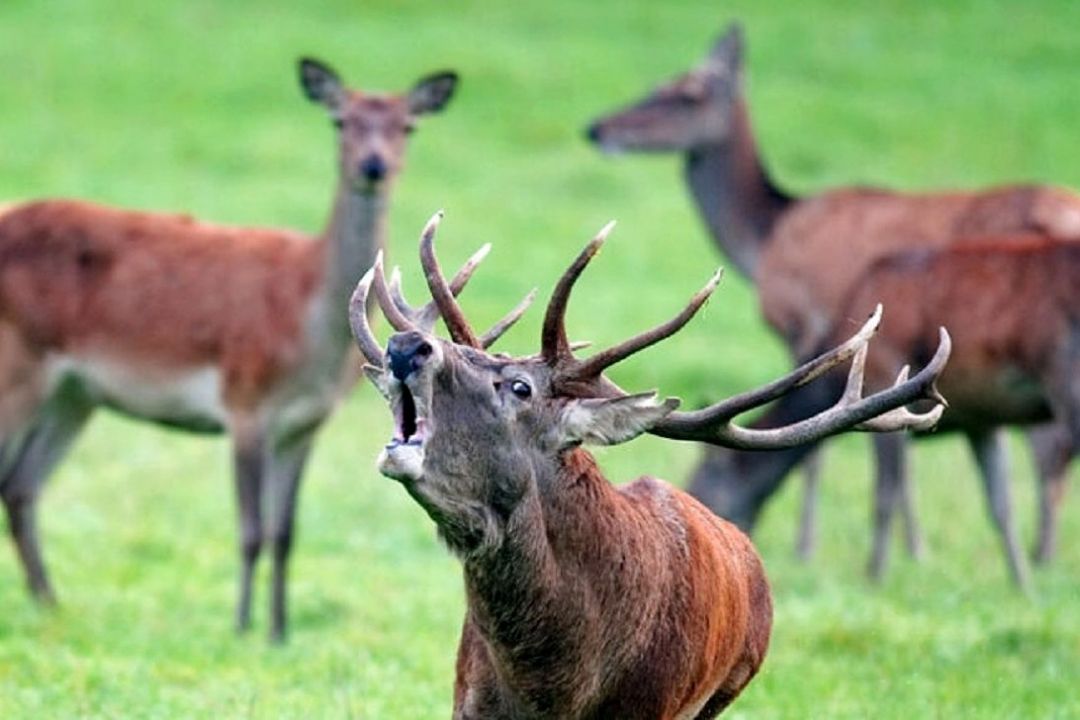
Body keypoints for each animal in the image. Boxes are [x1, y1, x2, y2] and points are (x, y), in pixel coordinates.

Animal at [0, 57, 460, 643]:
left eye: (408, 126)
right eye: (340, 120)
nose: (373, 166)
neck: (308, 334)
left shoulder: (305, 423)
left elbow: (286, 532)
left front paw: (280, 632)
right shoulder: (245, 402)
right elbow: (251, 529)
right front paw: (242, 627)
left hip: (74, 393)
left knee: (21, 485)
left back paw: (50, 604)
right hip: (17, 360)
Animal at [686, 236, 1075, 587]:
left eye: (703, 483)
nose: (720, 538)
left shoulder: (882, 378)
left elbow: (885, 494)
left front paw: (875, 575)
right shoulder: (981, 421)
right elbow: (1001, 505)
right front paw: (1023, 585)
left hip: (1065, 380)